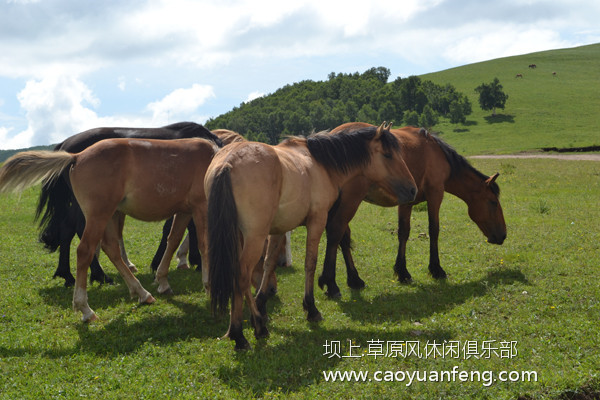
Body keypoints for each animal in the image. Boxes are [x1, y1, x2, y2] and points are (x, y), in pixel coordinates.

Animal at [0, 138, 220, 322]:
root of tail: (77, 156)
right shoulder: (201, 207)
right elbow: (205, 244)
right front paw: (209, 286)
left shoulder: (184, 211)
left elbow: (173, 240)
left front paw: (163, 281)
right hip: (100, 215)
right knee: (85, 251)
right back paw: (86, 309)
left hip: (111, 215)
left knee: (111, 248)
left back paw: (142, 293)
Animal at [35, 120, 223, 286]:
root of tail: (67, 147)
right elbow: (181, 229)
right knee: (76, 230)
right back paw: (98, 275)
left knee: (68, 229)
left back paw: (69, 275)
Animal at [205, 122, 418, 350]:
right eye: (388, 155)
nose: (412, 190)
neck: (320, 164)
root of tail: (227, 163)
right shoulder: (317, 220)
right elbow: (311, 263)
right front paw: (311, 308)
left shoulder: (279, 229)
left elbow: (269, 263)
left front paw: (262, 305)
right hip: (254, 237)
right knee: (242, 275)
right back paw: (245, 333)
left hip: (237, 237)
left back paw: (245, 328)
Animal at [316, 122, 508, 296]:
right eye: (493, 202)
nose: (503, 236)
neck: (435, 152)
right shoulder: (435, 194)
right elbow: (432, 230)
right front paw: (434, 269)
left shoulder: (407, 201)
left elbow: (404, 232)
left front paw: (402, 271)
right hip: (350, 201)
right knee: (338, 233)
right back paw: (338, 283)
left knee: (343, 237)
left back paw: (354, 279)